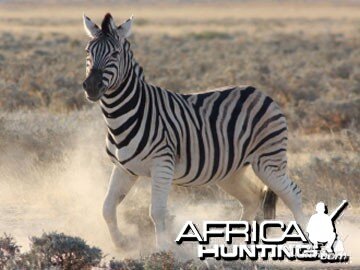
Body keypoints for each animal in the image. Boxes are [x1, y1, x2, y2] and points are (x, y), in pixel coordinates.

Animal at [81, 12, 306, 249]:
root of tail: (261, 93)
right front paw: (122, 244)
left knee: (293, 194)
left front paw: (163, 251)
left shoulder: (162, 165)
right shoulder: (124, 168)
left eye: (115, 53)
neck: (125, 115)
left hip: (268, 161)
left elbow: (157, 212)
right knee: (252, 198)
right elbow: (107, 208)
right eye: (88, 51)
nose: (92, 86)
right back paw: (234, 245)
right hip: (230, 170)